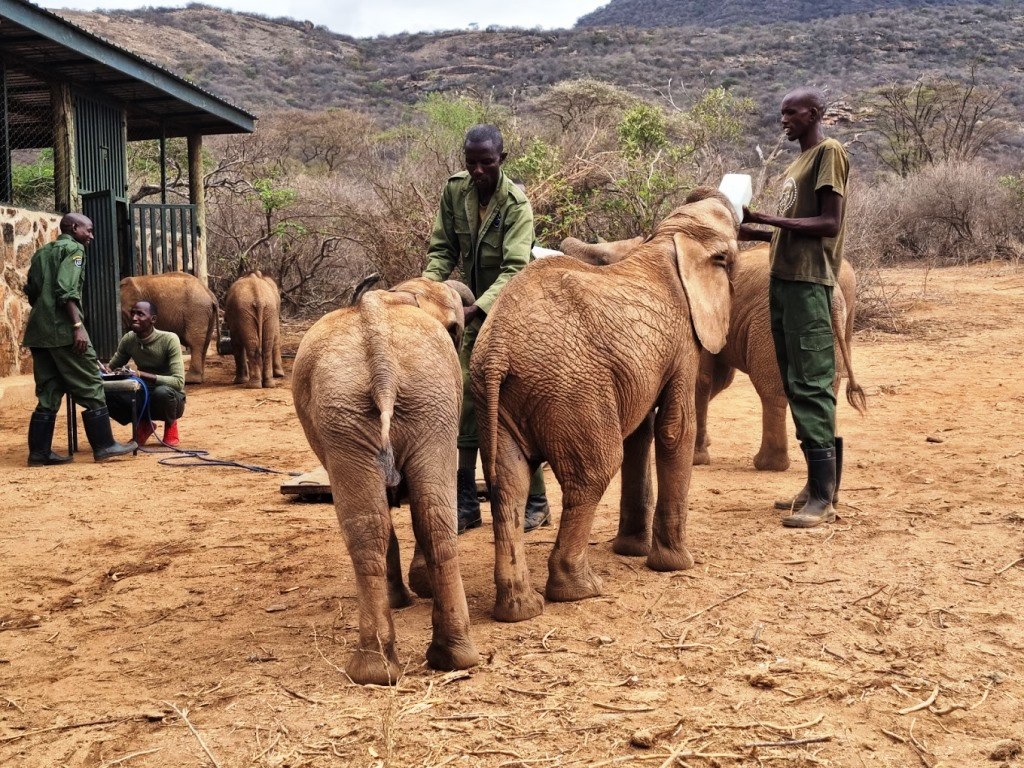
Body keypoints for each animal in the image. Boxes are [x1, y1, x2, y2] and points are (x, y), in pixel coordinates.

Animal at [292, 276, 480, 685]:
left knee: (378, 525)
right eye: (457, 331)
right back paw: (440, 659)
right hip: (399, 404)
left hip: (380, 408)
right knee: (425, 518)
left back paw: (381, 668)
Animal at [470, 188, 737, 623]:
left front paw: (633, 551)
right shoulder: (683, 341)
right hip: (572, 388)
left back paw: (520, 610)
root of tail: (496, 350)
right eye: (730, 259)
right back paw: (579, 591)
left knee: (509, 483)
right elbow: (675, 429)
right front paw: (676, 565)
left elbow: (643, 432)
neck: (671, 237)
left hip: (499, 399)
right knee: (594, 472)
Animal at [560, 238, 866, 471]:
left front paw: (696, 459)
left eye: (602, 258)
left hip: (773, 322)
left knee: (771, 389)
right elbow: (716, 381)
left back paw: (767, 465)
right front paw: (702, 446)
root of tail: (834, 296)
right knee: (825, 389)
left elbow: (701, 380)